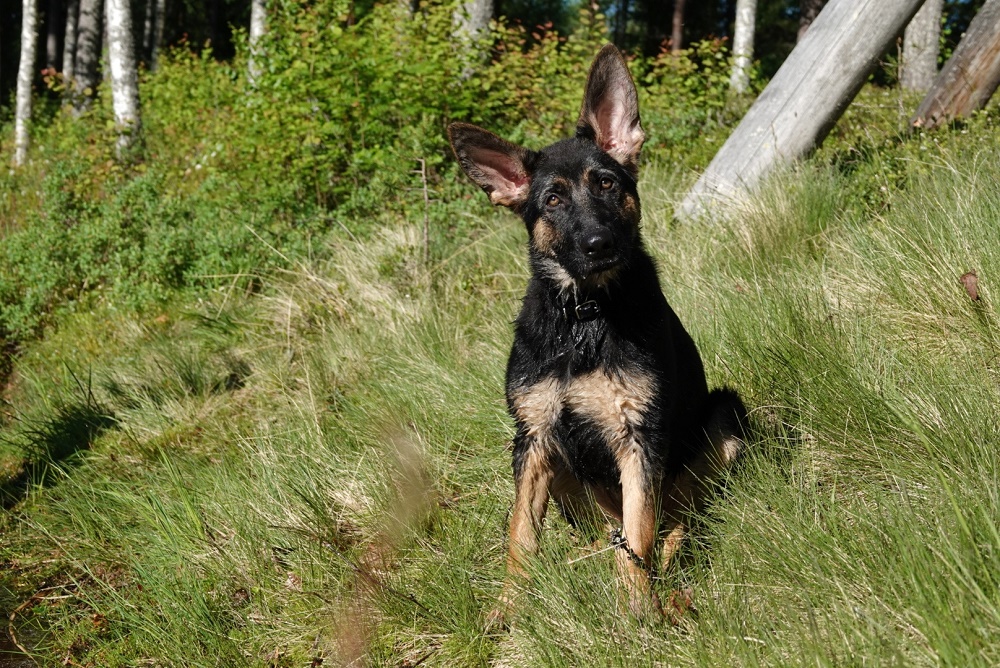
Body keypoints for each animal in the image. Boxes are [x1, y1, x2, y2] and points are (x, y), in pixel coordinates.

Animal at [450, 45, 748, 620]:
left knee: (676, 522)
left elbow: (642, 531)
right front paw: (509, 608)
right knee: (609, 535)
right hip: (566, 468)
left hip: (724, 419)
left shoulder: (639, 436)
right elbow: (521, 535)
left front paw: (636, 609)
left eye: (606, 184)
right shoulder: (534, 439)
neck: (585, 317)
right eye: (552, 200)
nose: (598, 244)